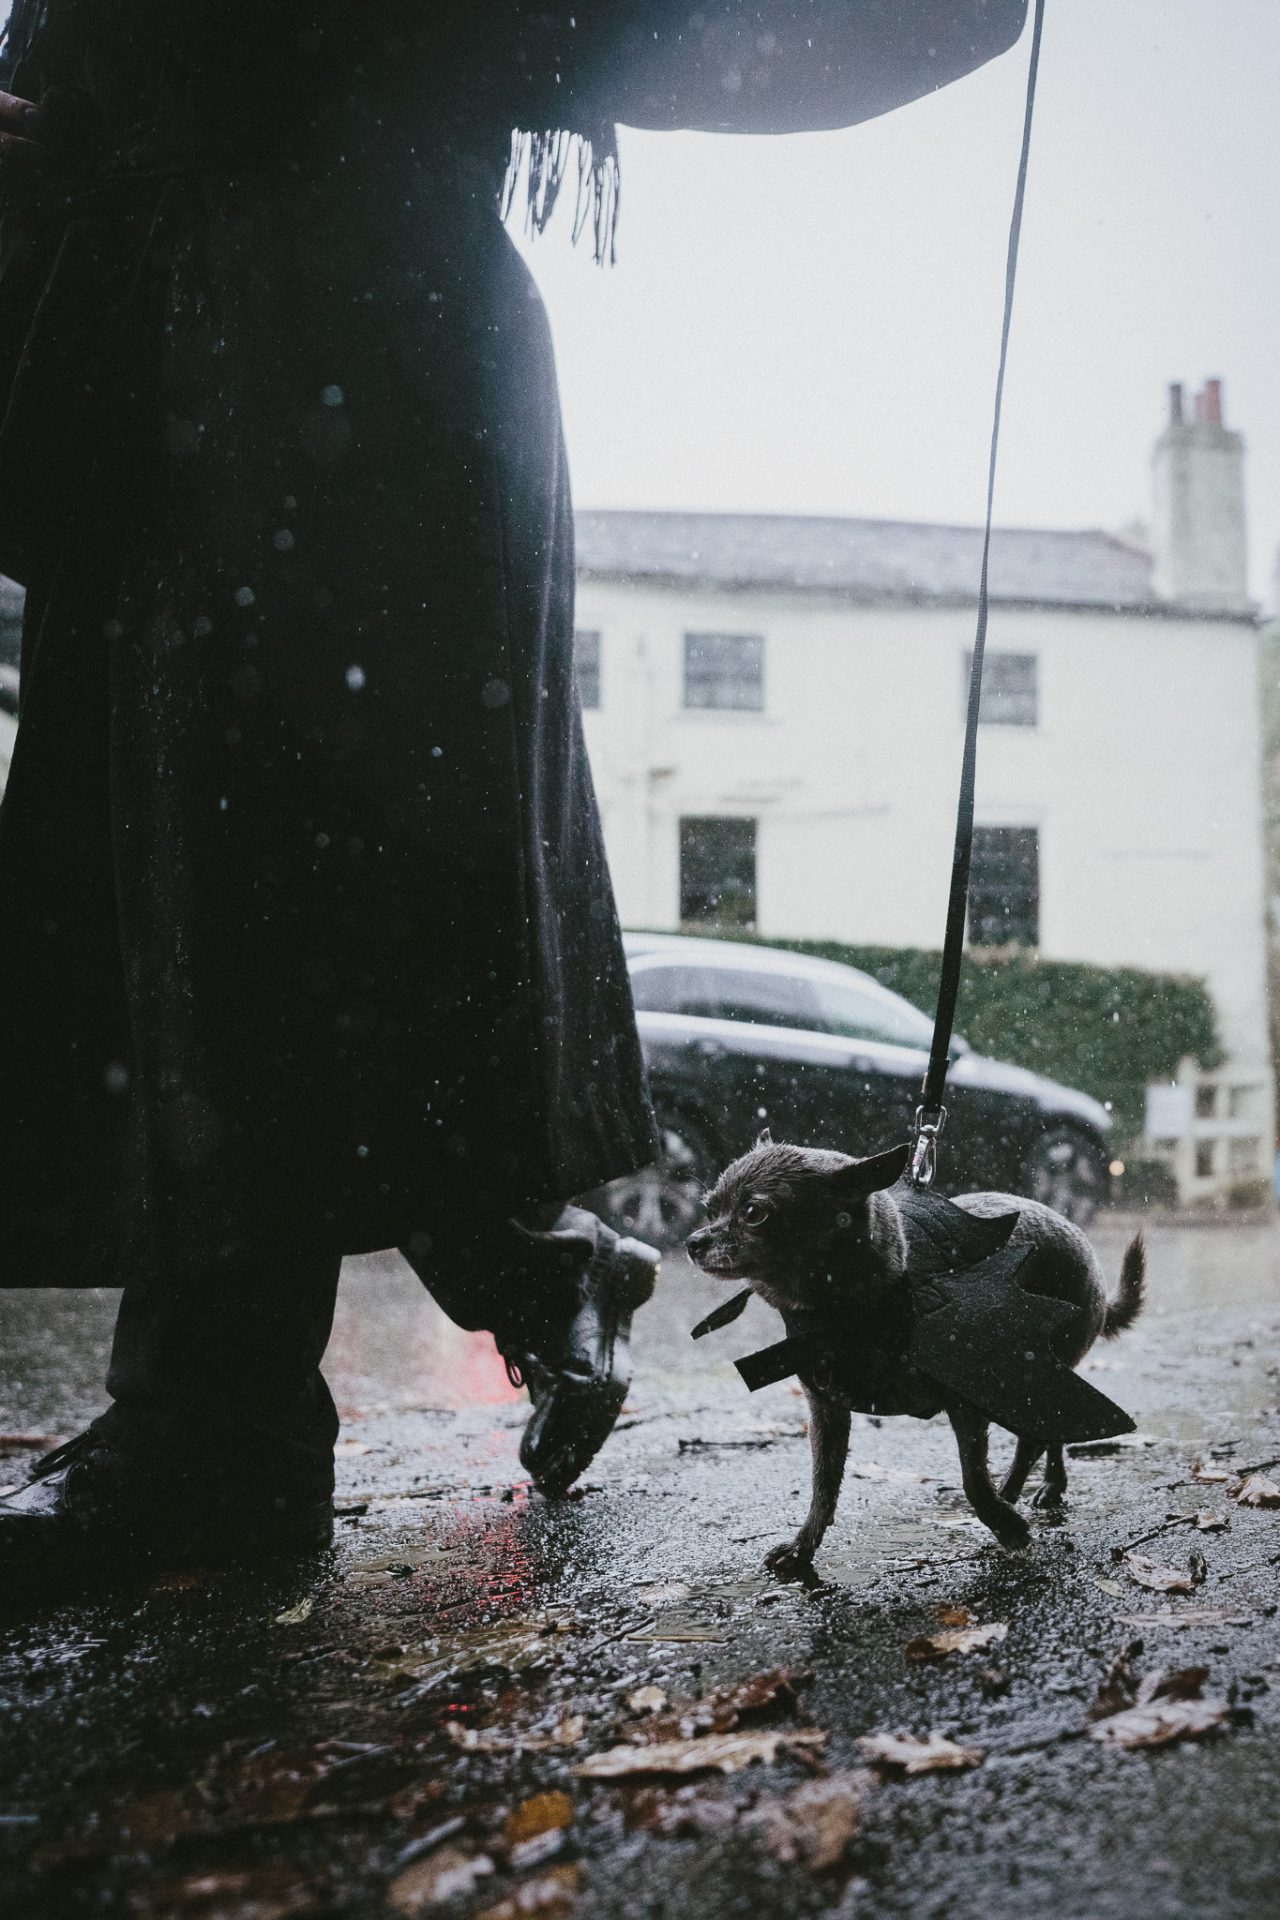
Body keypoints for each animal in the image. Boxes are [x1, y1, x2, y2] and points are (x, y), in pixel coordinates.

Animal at [686, 1137, 1145, 1572]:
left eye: (753, 1213)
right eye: (709, 1209)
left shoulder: (966, 1399)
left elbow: (972, 1477)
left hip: (1016, 1375)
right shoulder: (826, 1410)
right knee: (1050, 1431)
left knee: (1035, 1436)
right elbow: (823, 1485)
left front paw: (1006, 1526)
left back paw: (1016, 1492)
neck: (849, 1314)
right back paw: (1043, 1486)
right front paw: (802, 1549)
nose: (693, 1241)